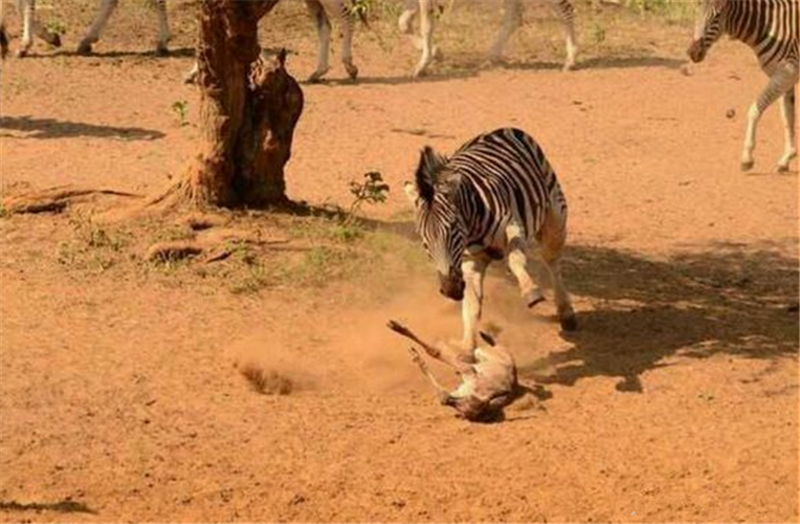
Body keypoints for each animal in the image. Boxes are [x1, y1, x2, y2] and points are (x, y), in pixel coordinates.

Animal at [406, 127, 576, 358]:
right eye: (424, 238)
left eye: (453, 228)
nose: (450, 290)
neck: (471, 227)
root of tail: (501, 130)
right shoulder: (470, 260)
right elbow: (471, 304)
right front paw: (467, 349)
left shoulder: (513, 225)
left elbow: (516, 260)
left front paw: (531, 291)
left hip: (554, 215)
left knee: (552, 260)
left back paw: (566, 313)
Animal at [688, 0, 800, 173]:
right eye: (696, 14)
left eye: (717, 16)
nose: (693, 53)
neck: (768, 26)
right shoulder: (785, 77)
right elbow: (788, 117)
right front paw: (786, 158)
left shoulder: (787, 73)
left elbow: (754, 110)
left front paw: (747, 158)